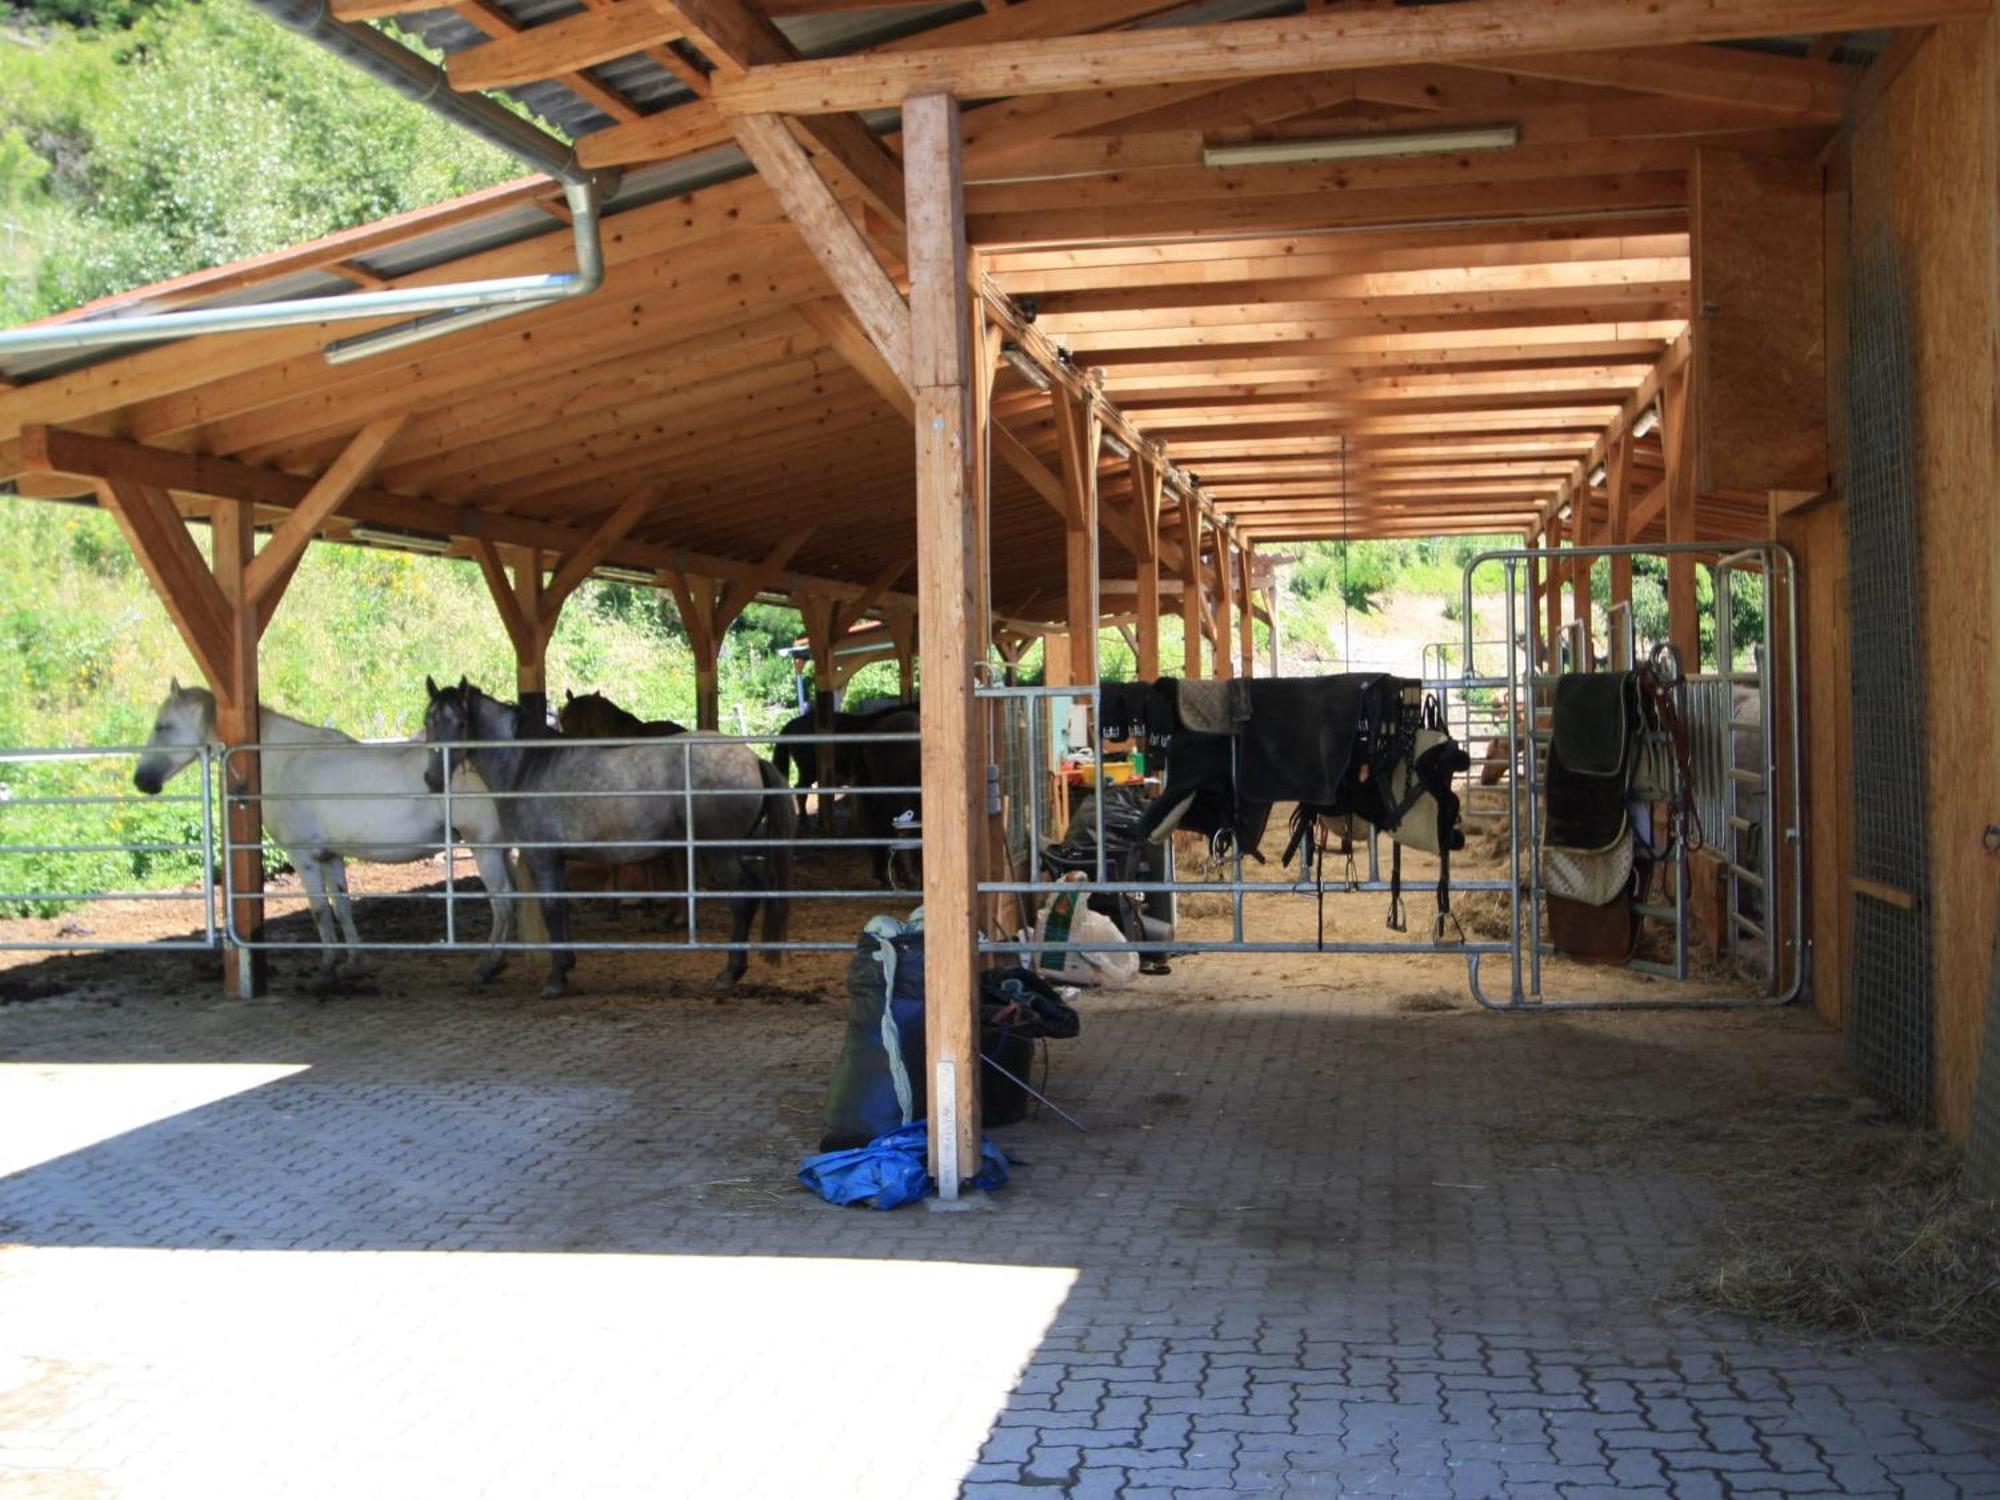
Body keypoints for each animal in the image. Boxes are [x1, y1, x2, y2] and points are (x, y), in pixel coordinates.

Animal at [134, 680, 516, 988]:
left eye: (162, 726)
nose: (141, 781)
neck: (283, 760)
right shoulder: (330, 856)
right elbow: (342, 907)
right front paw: (354, 964)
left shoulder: (303, 857)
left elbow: (319, 910)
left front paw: (328, 969)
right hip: (501, 849)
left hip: (485, 849)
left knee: (502, 903)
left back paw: (487, 966)